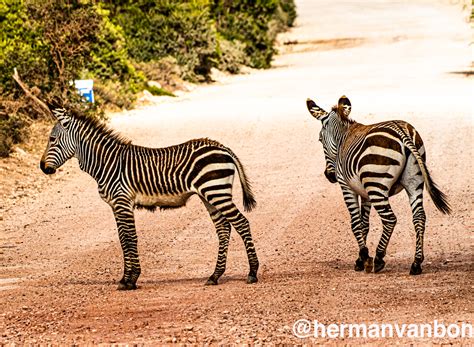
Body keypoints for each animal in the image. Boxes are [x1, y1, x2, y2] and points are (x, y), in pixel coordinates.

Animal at [39, 104, 260, 290]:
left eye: (52, 140)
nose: (42, 167)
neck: (107, 163)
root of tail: (222, 147)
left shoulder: (122, 202)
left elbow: (129, 238)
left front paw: (130, 280)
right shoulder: (116, 205)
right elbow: (123, 239)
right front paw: (126, 278)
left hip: (216, 191)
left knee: (241, 223)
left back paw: (252, 272)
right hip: (210, 195)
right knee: (224, 229)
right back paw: (215, 276)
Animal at [306, 96, 450, 276]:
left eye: (320, 139)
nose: (329, 175)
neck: (343, 138)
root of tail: (402, 131)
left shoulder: (347, 187)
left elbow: (355, 223)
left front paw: (364, 258)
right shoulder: (365, 192)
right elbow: (364, 225)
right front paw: (360, 259)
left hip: (376, 185)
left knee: (390, 219)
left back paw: (379, 258)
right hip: (413, 181)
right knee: (419, 217)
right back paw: (416, 263)